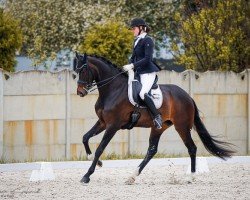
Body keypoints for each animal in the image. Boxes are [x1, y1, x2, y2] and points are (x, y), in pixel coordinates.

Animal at [73, 52, 235, 184]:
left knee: (192, 148)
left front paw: (87, 175)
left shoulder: (113, 126)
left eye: (83, 70)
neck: (113, 90)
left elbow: (100, 148)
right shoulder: (102, 122)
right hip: (159, 127)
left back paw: (191, 177)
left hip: (182, 126)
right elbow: (85, 137)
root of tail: (187, 96)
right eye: (76, 71)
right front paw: (97, 162)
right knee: (152, 150)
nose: (80, 92)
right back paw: (132, 176)